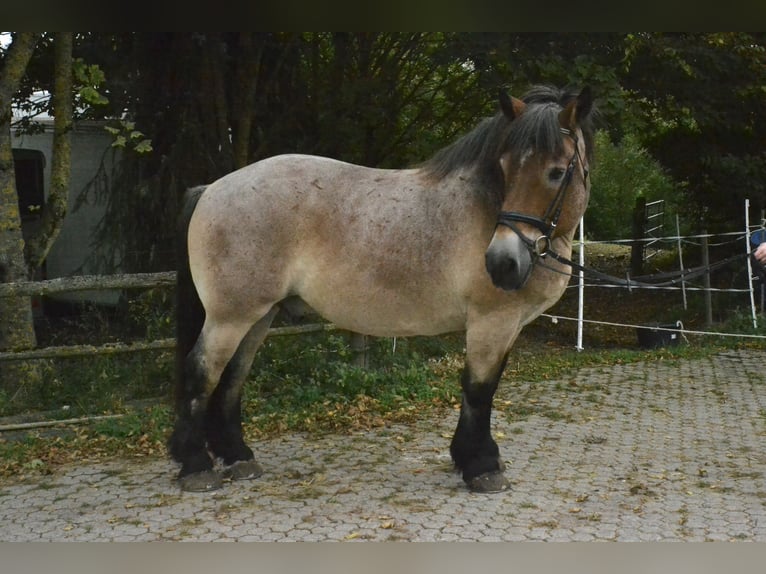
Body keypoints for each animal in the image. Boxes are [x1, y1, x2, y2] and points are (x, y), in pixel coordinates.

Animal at [171, 84, 596, 496]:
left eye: (557, 172)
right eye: (504, 167)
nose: (502, 263)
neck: (483, 210)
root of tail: (213, 188)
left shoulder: (508, 326)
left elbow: (485, 388)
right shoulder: (492, 321)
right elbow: (479, 389)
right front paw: (481, 466)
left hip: (259, 314)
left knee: (232, 377)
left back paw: (237, 457)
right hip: (231, 317)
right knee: (202, 372)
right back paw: (196, 466)